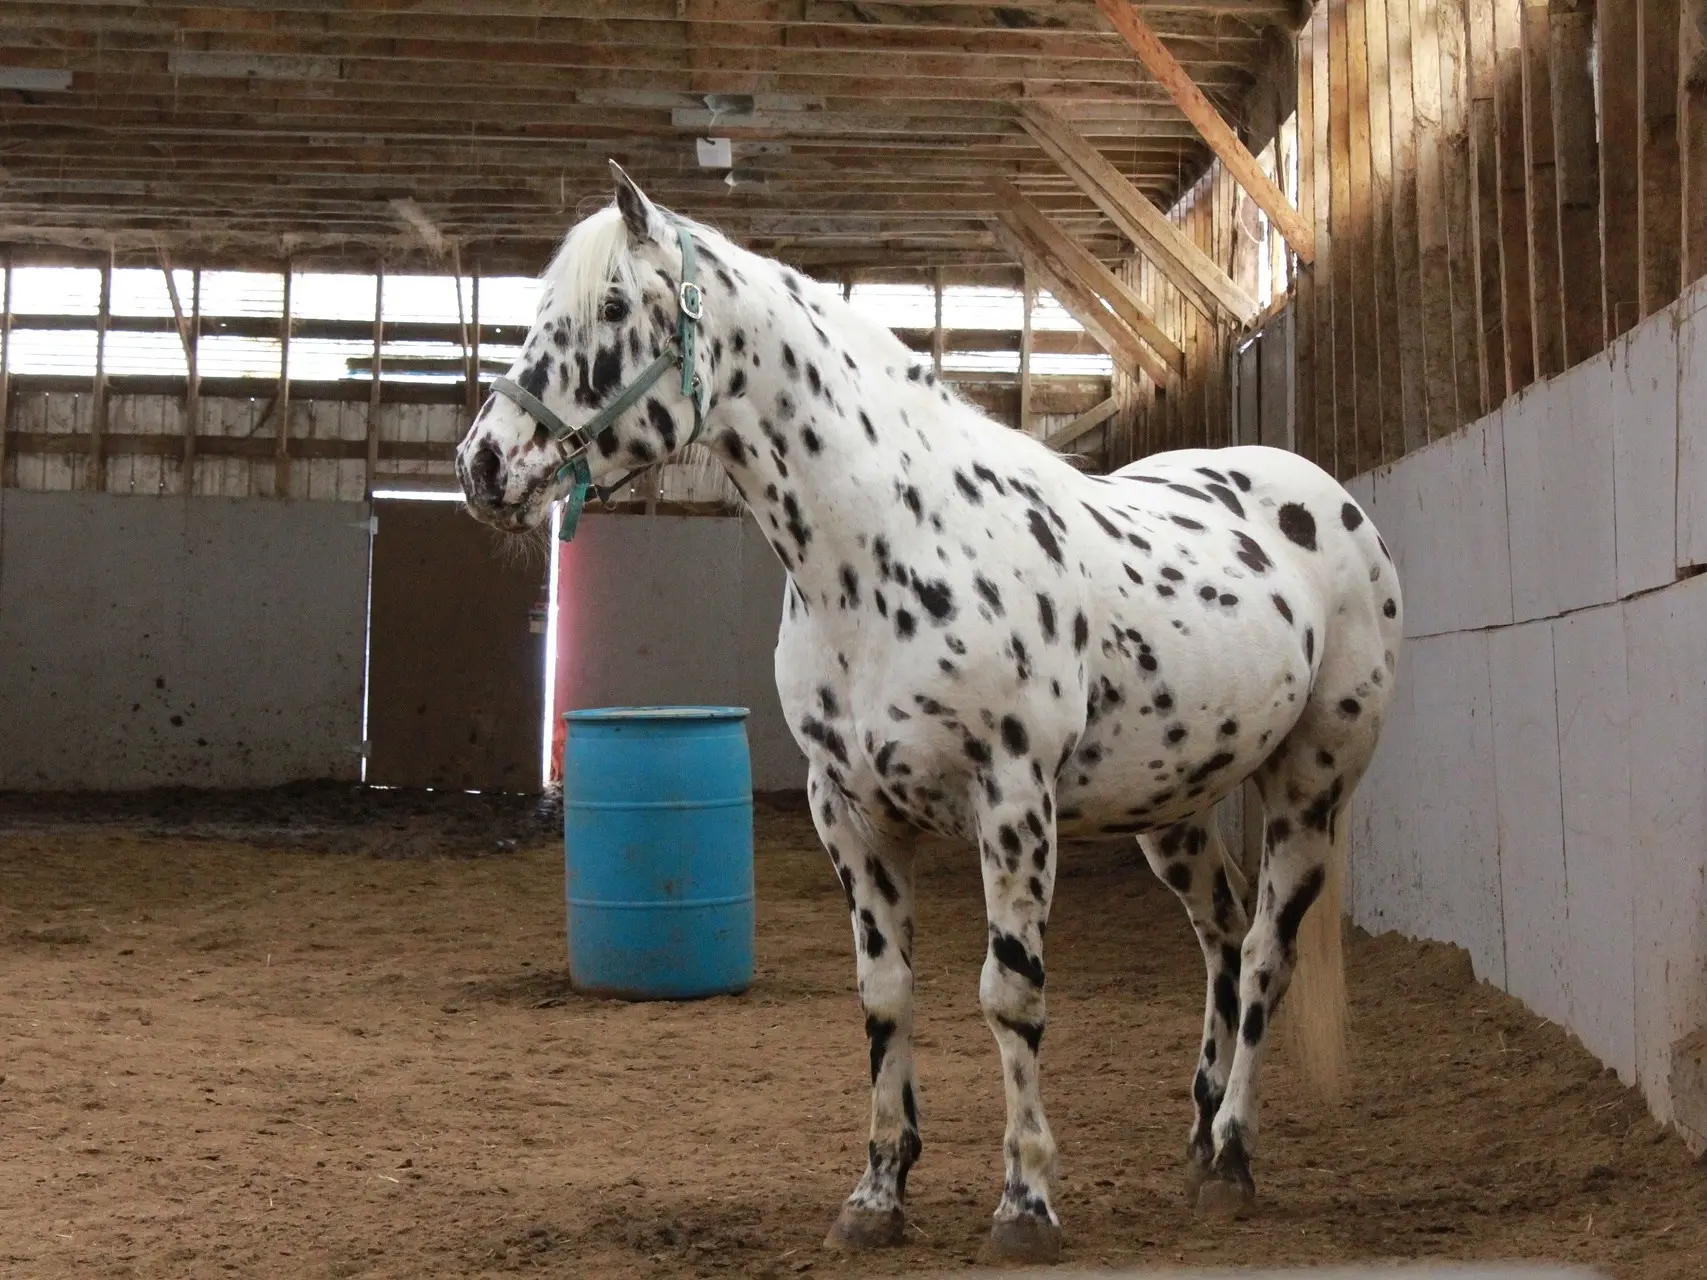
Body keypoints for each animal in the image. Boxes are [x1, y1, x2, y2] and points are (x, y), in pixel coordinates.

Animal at [454, 165, 1399, 1269]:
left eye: (609, 307)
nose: (483, 465)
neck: (885, 547)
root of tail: (1329, 503)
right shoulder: (848, 812)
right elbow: (885, 993)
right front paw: (876, 1193)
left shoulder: (1013, 804)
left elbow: (1010, 994)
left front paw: (1025, 1202)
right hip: (1172, 809)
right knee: (1220, 931)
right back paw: (1202, 1138)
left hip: (1310, 787)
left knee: (1260, 955)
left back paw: (1235, 1159)